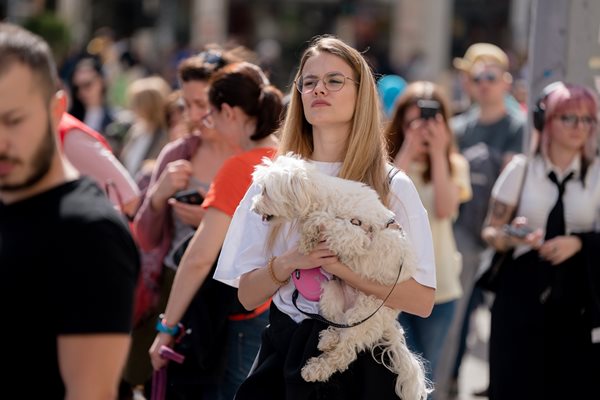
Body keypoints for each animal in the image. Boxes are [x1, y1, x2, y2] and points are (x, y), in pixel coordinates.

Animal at [251, 154, 428, 400]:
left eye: (266, 191)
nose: (253, 207)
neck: (322, 197)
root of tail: (389, 323)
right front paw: (307, 239)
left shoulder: (354, 234)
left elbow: (324, 221)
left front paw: (309, 233)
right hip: (331, 294)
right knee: (338, 324)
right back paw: (329, 338)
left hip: (364, 315)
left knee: (344, 353)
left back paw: (316, 369)